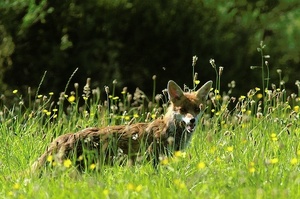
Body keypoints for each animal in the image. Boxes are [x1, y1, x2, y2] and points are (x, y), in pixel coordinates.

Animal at [31, 79, 212, 171]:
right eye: (183, 110)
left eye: (197, 109)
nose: (192, 121)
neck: (170, 131)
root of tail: (61, 139)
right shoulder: (154, 160)